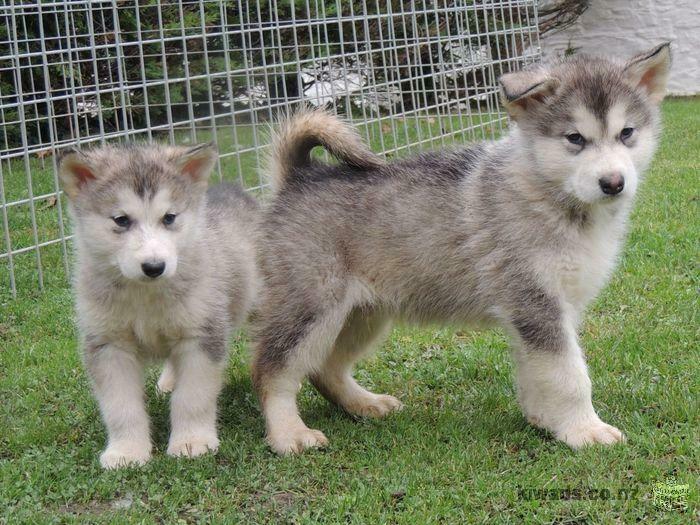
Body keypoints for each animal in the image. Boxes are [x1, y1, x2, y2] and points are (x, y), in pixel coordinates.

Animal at [58, 142, 258, 466]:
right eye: (121, 220)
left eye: (169, 217)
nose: (154, 266)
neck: (144, 294)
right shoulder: (108, 345)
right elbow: (120, 407)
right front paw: (127, 451)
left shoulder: (201, 335)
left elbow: (193, 397)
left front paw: (192, 442)